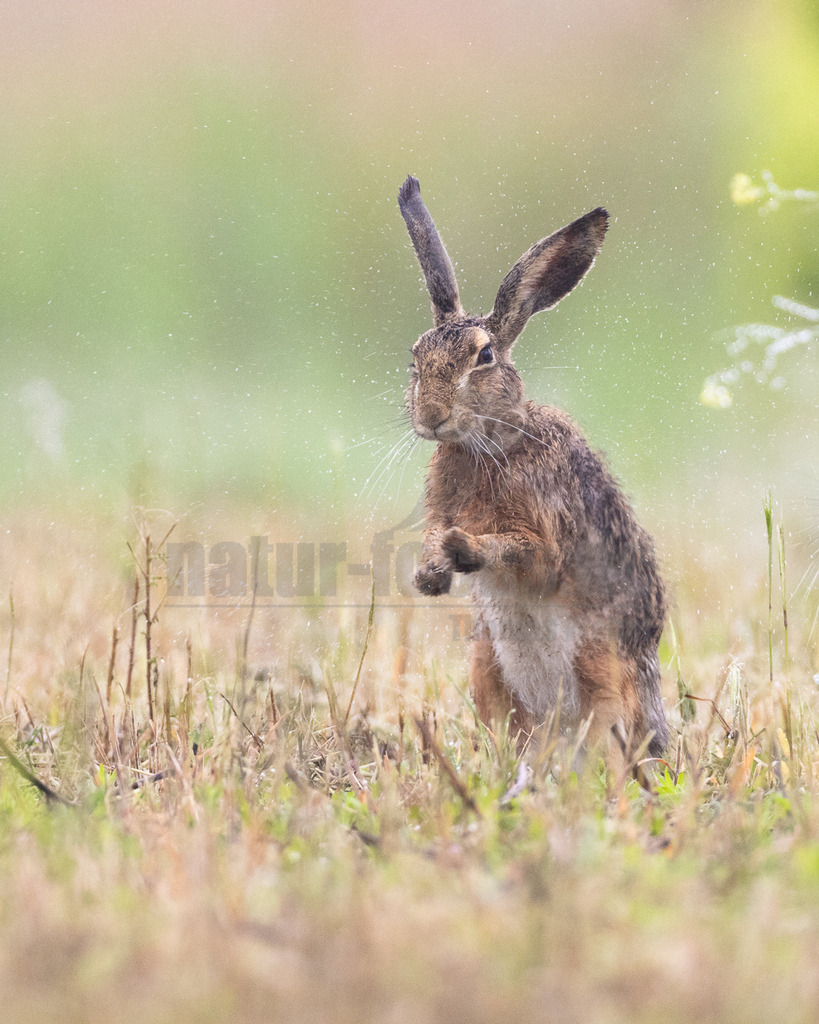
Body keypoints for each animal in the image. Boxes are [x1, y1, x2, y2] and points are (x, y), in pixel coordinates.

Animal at [397, 175, 668, 762]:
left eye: (484, 358)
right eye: (415, 359)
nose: (431, 417)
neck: (489, 444)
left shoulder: (549, 535)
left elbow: (528, 555)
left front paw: (463, 548)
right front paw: (430, 573)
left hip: (600, 667)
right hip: (487, 666)